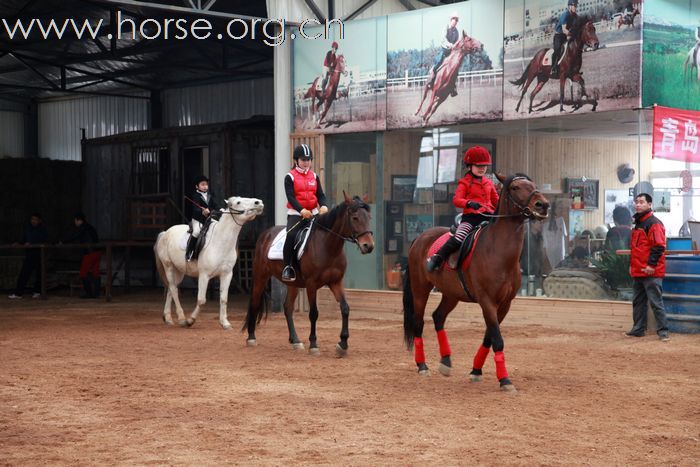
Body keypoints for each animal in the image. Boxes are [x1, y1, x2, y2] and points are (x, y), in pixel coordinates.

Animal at [154, 196, 264, 330]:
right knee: (174, 290)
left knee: (171, 288)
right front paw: (190, 320)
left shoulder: (226, 275)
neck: (220, 241)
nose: (259, 203)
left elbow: (224, 299)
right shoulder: (204, 275)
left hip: (178, 271)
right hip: (168, 266)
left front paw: (225, 323)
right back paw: (181, 319)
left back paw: (169, 318)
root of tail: (165, 233)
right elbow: (201, 300)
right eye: (238, 202)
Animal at [243, 194, 374, 358]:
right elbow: (313, 313)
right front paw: (313, 345)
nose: (368, 246)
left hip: (292, 284)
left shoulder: (336, 282)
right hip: (261, 276)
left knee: (287, 307)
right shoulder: (312, 284)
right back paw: (251, 338)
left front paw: (342, 344)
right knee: (254, 303)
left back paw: (296, 341)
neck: (328, 246)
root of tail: (266, 234)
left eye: (369, 217)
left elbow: (345, 308)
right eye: (355, 218)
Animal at [402, 174, 548, 394]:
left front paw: (476, 371)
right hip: (420, 289)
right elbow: (497, 340)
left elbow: (490, 337)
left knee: (438, 317)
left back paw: (446, 362)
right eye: (515, 187)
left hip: (451, 294)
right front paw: (505, 380)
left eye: (533, 185)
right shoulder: (487, 302)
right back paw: (422, 366)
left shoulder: (504, 304)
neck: (497, 251)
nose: (543, 205)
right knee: (419, 323)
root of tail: (420, 237)